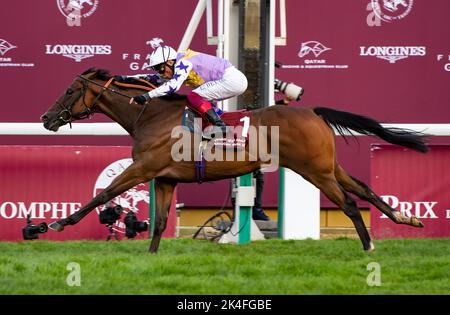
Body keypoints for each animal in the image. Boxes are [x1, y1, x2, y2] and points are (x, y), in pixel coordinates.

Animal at [41, 68, 428, 253]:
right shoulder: (165, 178)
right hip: (328, 166)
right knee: (362, 188)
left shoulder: (143, 168)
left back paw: (369, 244)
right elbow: (161, 221)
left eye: (71, 90)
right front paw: (150, 257)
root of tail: (312, 110)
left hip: (314, 170)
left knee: (348, 203)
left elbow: (104, 194)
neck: (150, 114)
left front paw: (57, 224)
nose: (46, 118)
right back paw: (405, 218)